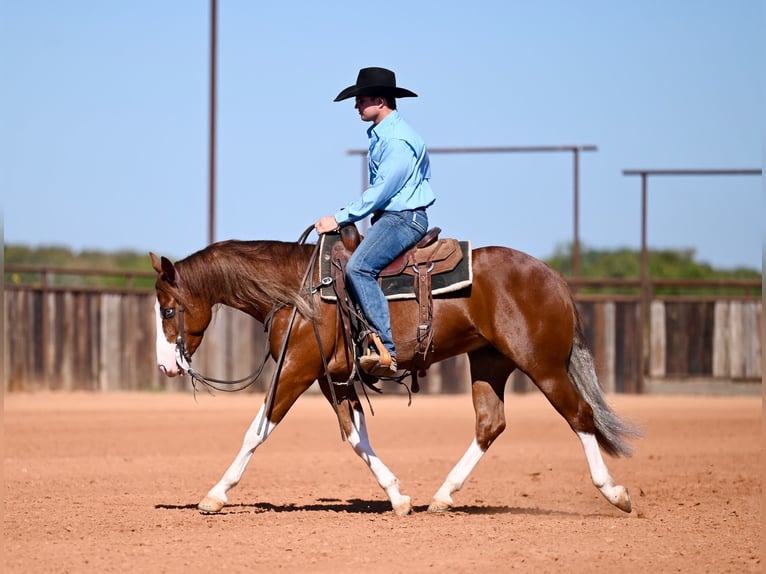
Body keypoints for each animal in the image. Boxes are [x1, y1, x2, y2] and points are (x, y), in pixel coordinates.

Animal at [150, 236, 639, 516]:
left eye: (169, 309)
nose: (166, 366)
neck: (298, 292)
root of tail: (554, 278)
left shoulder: (296, 369)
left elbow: (256, 430)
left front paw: (215, 495)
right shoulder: (332, 378)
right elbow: (355, 437)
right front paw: (398, 497)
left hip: (542, 364)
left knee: (579, 416)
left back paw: (614, 494)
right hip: (489, 362)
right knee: (490, 423)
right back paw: (442, 496)